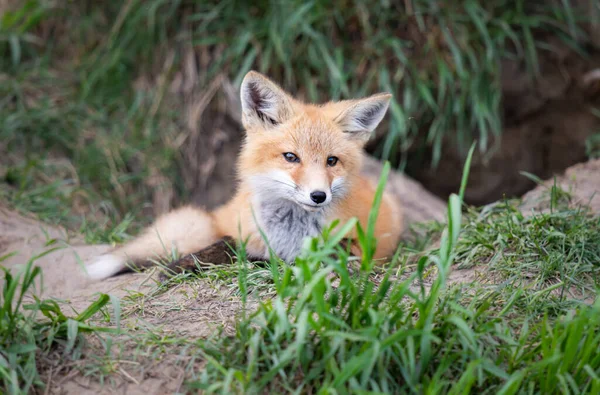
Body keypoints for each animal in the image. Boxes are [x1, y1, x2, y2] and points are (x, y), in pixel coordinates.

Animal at [85, 72, 404, 282]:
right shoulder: (245, 236)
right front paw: (182, 266)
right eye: (291, 157)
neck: (289, 232)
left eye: (332, 161)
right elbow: (224, 246)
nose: (318, 196)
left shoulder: (358, 247)